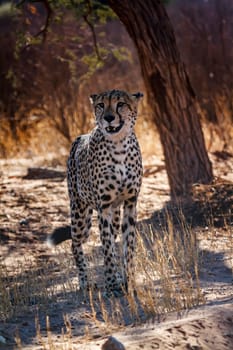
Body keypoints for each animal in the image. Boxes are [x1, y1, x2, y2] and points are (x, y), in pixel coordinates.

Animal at [47, 88, 144, 296]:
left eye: (120, 104)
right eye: (101, 105)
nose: (108, 117)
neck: (119, 146)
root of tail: (79, 137)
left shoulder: (130, 203)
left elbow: (127, 247)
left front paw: (129, 282)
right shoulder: (104, 207)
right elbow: (107, 249)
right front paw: (112, 286)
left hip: (114, 215)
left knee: (113, 239)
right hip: (79, 213)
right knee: (75, 243)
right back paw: (85, 282)